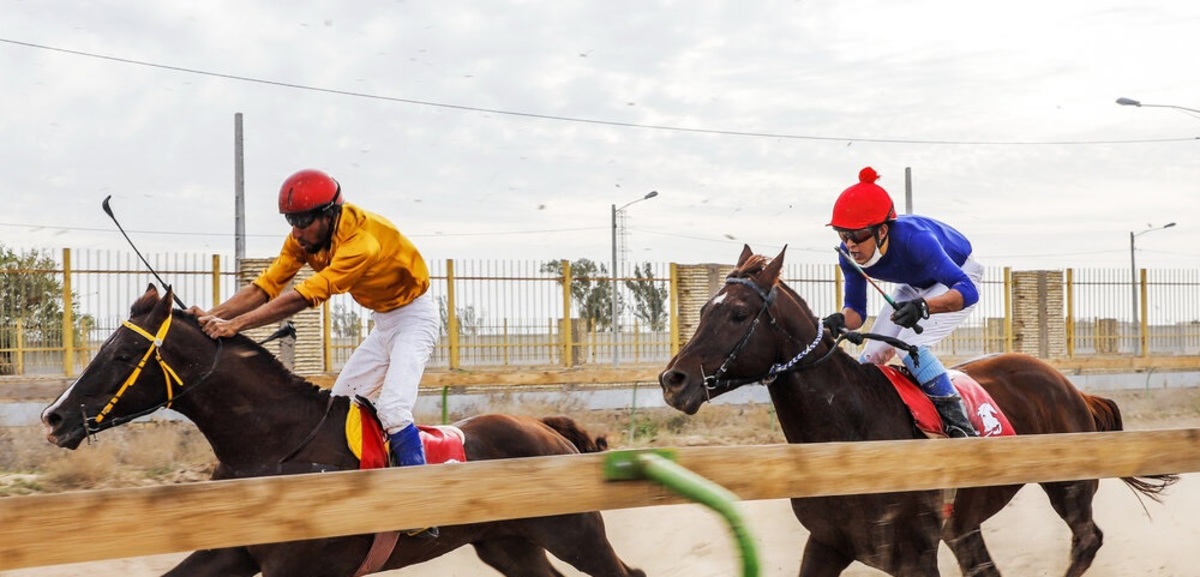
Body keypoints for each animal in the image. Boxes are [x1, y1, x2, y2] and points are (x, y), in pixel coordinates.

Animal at [44, 286, 648, 575]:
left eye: (122, 355)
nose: (54, 417)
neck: (277, 449)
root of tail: (549, 432)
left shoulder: (300, 568)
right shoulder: (233, 553)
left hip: (575, 534)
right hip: (508, 546)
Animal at [657, 243, 1171, 575]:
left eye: (739, 314)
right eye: (703, 310)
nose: (672, 381)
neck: (853, 432)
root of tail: (1070, 386)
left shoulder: (915, 555)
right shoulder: (826, 544)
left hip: (1068, 485)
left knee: (1087, 538)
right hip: (965, 524)